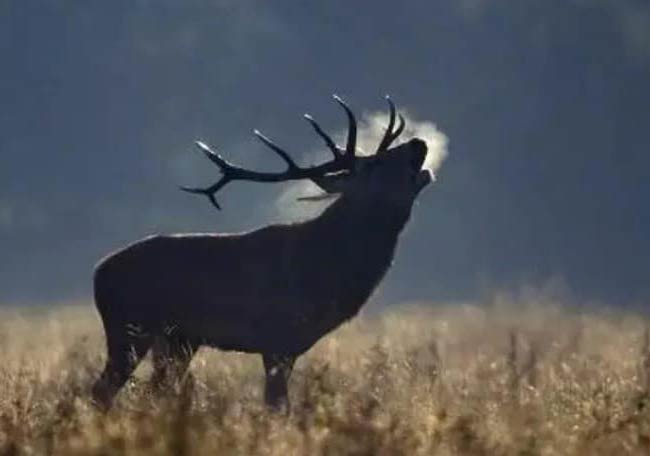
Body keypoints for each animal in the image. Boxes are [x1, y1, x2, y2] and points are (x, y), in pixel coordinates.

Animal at [91, 95, 433, 410]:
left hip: (178, 341)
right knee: (102, 391)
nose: (418, 142)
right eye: (374, 163)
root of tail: (97, 272)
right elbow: (277, 406)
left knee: (155, 389)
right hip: (130, 328)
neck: (326, 271)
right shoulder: (276, 337)